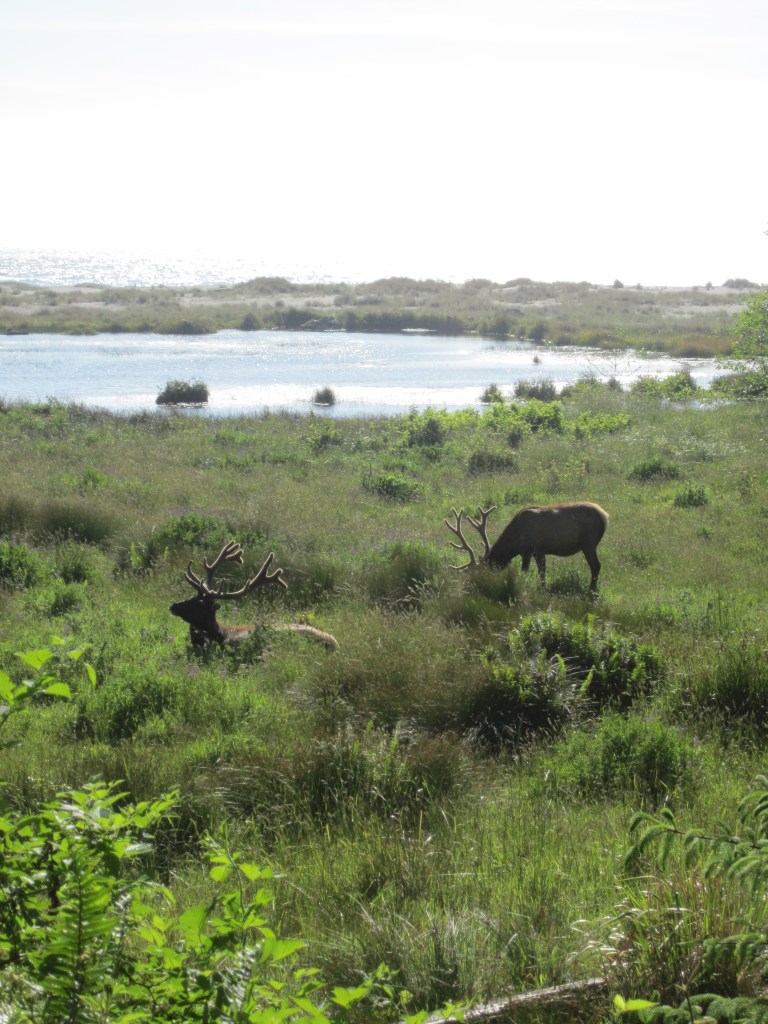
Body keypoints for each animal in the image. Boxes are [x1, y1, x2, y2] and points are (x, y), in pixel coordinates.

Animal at [444, 501, 608, 591]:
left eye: (481, 573)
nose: (471, 586)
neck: (514, 542)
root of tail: (605, 516)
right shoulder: (530, 552)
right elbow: (534, 571)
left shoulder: (535, 549)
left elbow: (536, 572)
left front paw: (540, 589)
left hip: (589, 543)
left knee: (596, 565)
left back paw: (591, 590)